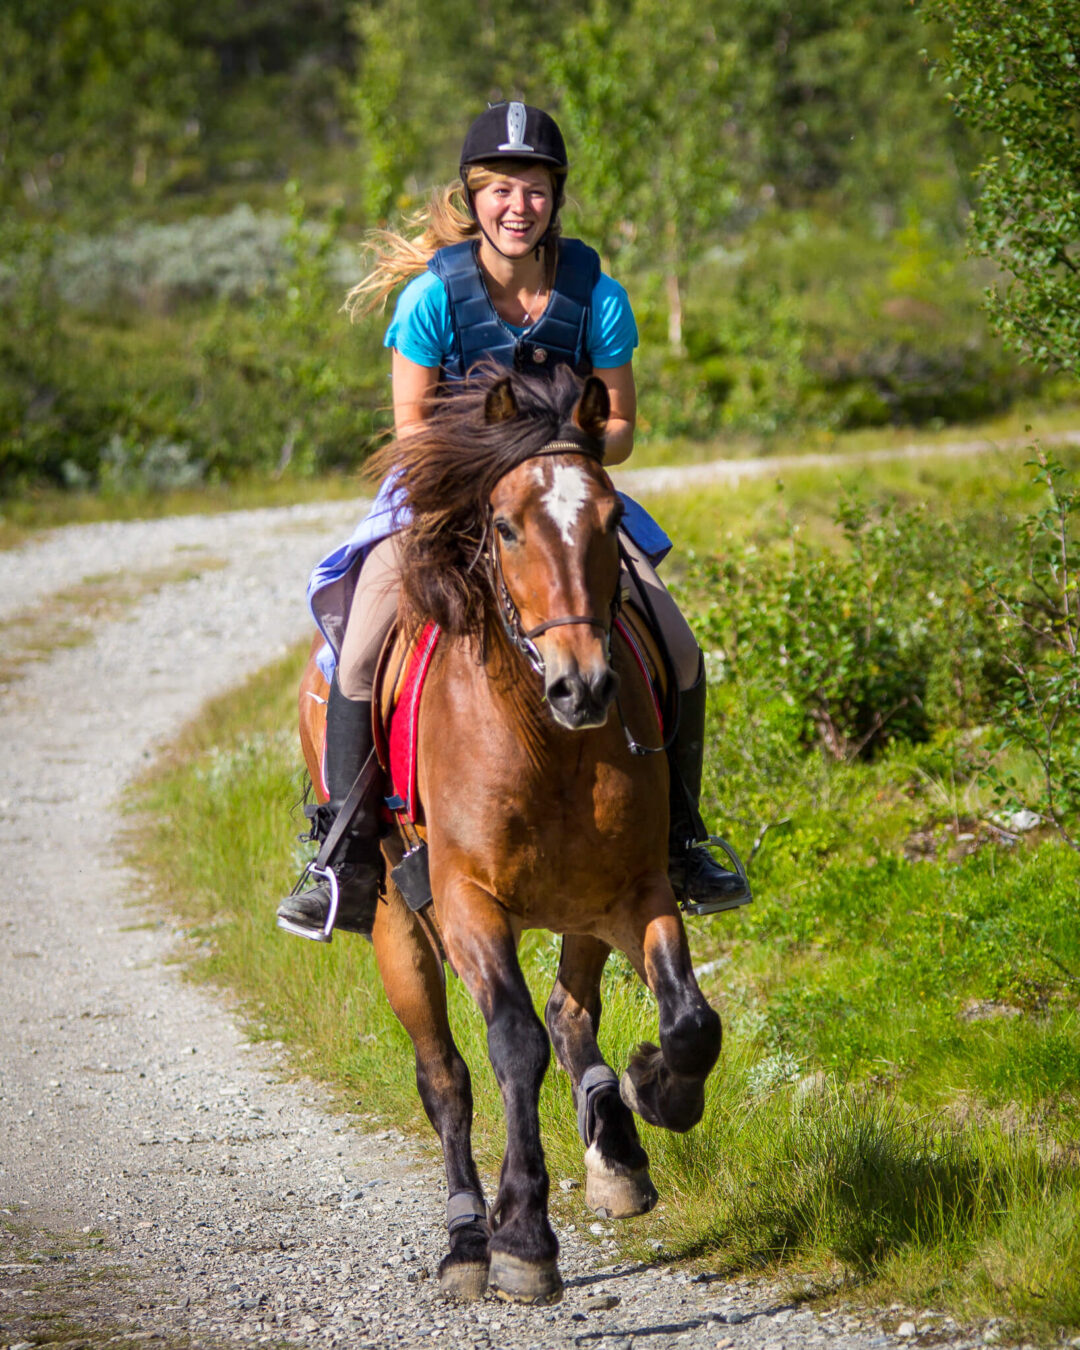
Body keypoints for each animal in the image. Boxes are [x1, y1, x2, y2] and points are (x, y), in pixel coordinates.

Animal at [297, 365, 722, 1305]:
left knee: (570, 1014)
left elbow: (688, 1022)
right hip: (399, 923)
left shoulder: (636, 890)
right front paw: (522, 1235)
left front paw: (653, 1088)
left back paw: (617, 1153)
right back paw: (465, 1239)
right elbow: (512, 1045)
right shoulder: (466, 902)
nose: (583, 686)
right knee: (446, 1077)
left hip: (578, 908)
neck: (540, 737)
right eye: (503, 525)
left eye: (608, 518)